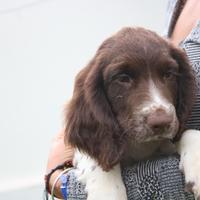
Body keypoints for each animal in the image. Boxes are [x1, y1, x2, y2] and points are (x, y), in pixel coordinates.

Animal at [65, 27, 200, 199]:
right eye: (123, 78)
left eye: (169, 74)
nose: (162, 122)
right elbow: (101, 158)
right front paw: (107, 191)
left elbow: (187, 132)